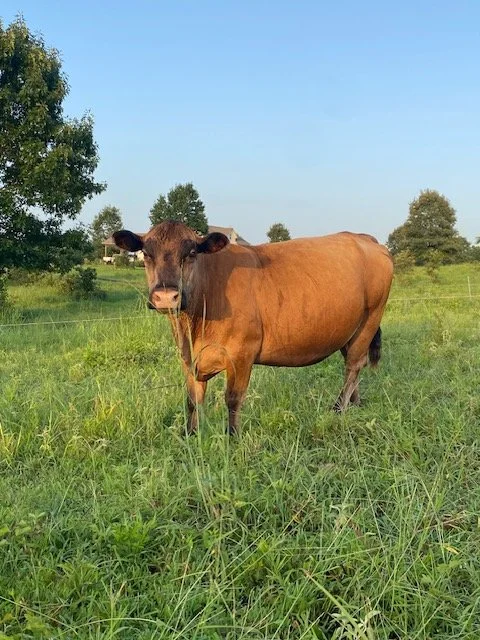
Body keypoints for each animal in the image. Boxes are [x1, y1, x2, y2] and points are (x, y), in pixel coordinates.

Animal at [113, 221, 393, 435]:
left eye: (192, 253)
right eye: (147, 254)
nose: (166, 296)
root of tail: (363, 237)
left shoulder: (242, 353)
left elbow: (233, 398)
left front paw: (232, 436)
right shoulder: (188, 357)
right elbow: (193, 400)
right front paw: (190, 434)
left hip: (370, 319)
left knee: (353, 365)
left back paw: (339, 408)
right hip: (351, 329)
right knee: (354, 365)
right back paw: (355, 404)